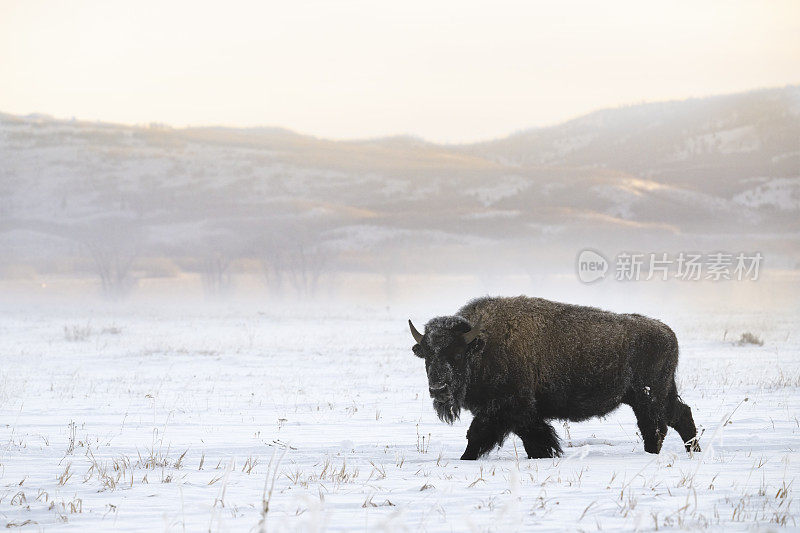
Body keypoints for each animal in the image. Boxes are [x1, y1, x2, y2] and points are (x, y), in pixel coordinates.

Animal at [412, 296, 700, 458]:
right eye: (427, 354)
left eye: (457, 354)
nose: (438, 388)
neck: (483, 345)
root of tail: (667, 332)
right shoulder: (508, 413)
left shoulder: (510, 410)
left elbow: (488, 436)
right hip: (654, 395)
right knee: (679, 415)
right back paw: (692, 450)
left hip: (648, 397)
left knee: (656, 427)